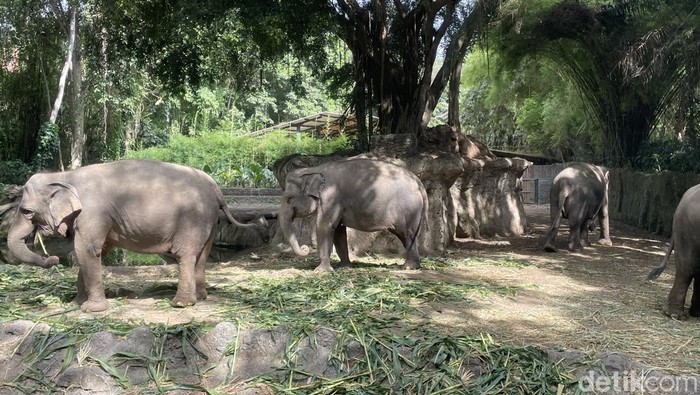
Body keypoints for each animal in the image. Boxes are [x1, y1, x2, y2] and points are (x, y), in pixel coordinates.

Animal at [8, 159, 266, 314]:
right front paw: (76, 303)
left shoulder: (93, 213)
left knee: (185, 254)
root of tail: (217, 188)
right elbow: (98, 250)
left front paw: (90, 310)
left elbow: (86, 249)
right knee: (202, 254)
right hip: (210, 220)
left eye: (26, 211)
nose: (52, 259)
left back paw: (181, 303)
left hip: (193, 218)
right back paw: (201, 297)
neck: (66, 176)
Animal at [278, 158, 426, 272]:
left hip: (409, 208)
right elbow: (338, 230)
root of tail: (418, 181)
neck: (313, 169)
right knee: (404, 235)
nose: (305, 248)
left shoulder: (331, 197)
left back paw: (408, 268)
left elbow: (324, 226)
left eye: (289, 199)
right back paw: (414, 266)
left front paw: (321, 271)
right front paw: (343, 266)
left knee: (408, 233)